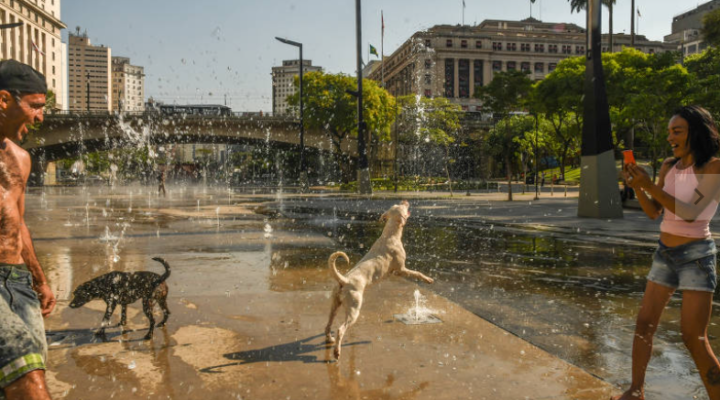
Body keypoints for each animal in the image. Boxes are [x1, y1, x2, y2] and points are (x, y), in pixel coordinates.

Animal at [326, 200, 434, 360]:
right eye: (402, 207)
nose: (405, 201)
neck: (390, 234)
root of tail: (343, 280)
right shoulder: (400, 270)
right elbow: (417, 273)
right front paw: (428, 279)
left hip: (334, 305)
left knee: (328, 324)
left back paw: (329, 339)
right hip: (353, 309)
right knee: (341, 329)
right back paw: (336, 351)